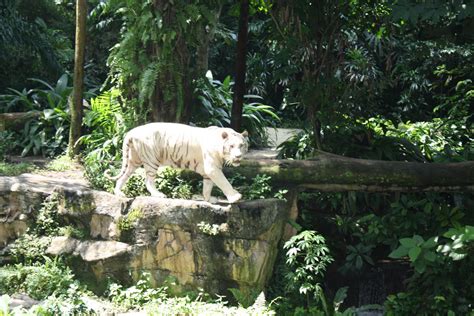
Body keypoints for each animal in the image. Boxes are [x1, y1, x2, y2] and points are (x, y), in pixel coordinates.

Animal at [105, 122, 250, 204]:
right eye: (231, 146)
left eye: (242, 145)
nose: (238, 156)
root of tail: (131, 132)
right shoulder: (212, 168)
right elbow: (224, 182)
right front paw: (236, 197)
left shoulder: (208, 171)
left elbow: (207, 186)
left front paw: (209, 200)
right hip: (151, 159)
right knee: (148, 181)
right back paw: (158, 195)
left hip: (133, 160)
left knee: (124, 176)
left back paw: (119, 193)